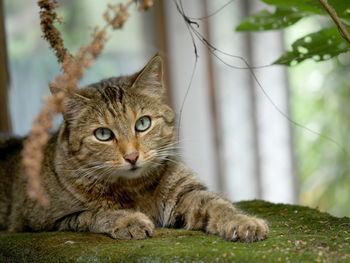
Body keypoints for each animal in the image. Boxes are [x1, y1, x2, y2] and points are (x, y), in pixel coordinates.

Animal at [0, 55, 270, 243]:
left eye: (143, 123)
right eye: (103, 134)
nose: (131, 156)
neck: (136, 189)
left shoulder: (187, 193)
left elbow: (218, 204)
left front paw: (242, 221)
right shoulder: (49, 220)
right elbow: (94, 214)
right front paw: (129, 219)